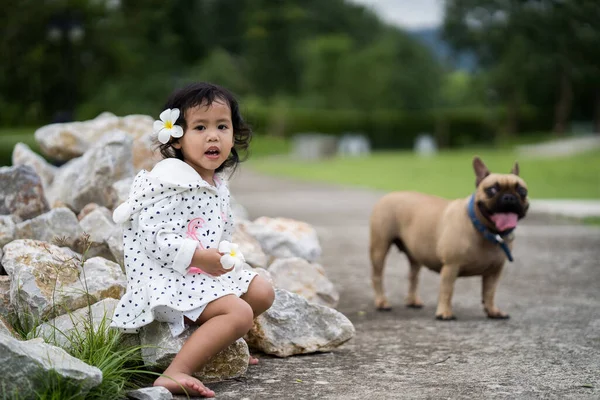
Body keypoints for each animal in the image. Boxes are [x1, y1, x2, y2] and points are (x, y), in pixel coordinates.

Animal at [370, 155, 528, 318]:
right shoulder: (451, 266)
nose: (509, 197)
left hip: (415, 254)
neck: (485, 229)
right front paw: (444, 313)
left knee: (413, 276)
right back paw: (382, 302)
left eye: (522, 191)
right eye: (492, 189)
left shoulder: (494, 272)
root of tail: (391, 194)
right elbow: (447, 290)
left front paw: (493, 311)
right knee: (377, 276)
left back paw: (413, 301)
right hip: (379, 248)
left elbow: (490, 292)